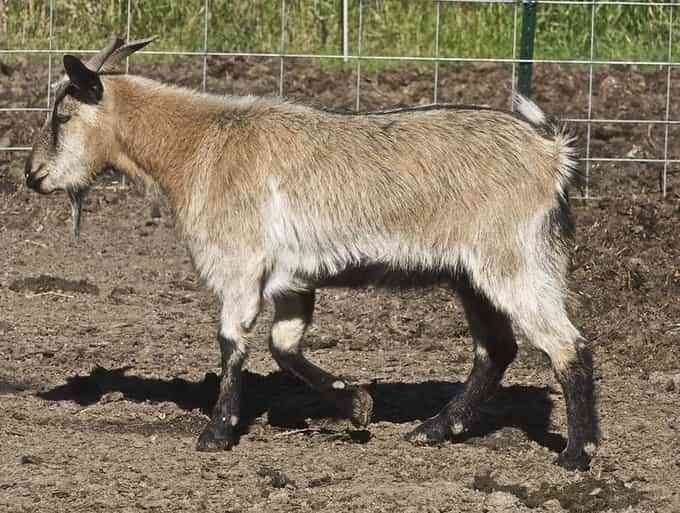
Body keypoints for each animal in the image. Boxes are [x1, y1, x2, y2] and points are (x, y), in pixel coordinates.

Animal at [24, 37, 598, 470]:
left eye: (63, 116)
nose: (33, 176)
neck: (200, 146)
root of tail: (552, 153)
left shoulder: (239, 264)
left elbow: (232, 342)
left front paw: (217, 433)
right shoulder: (293, 279)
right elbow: (283, 346)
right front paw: (357, 405)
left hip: (515, 261)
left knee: (568, 345)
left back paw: (577, 454)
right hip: (470, 273)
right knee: (496, 349)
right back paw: (433, 428)